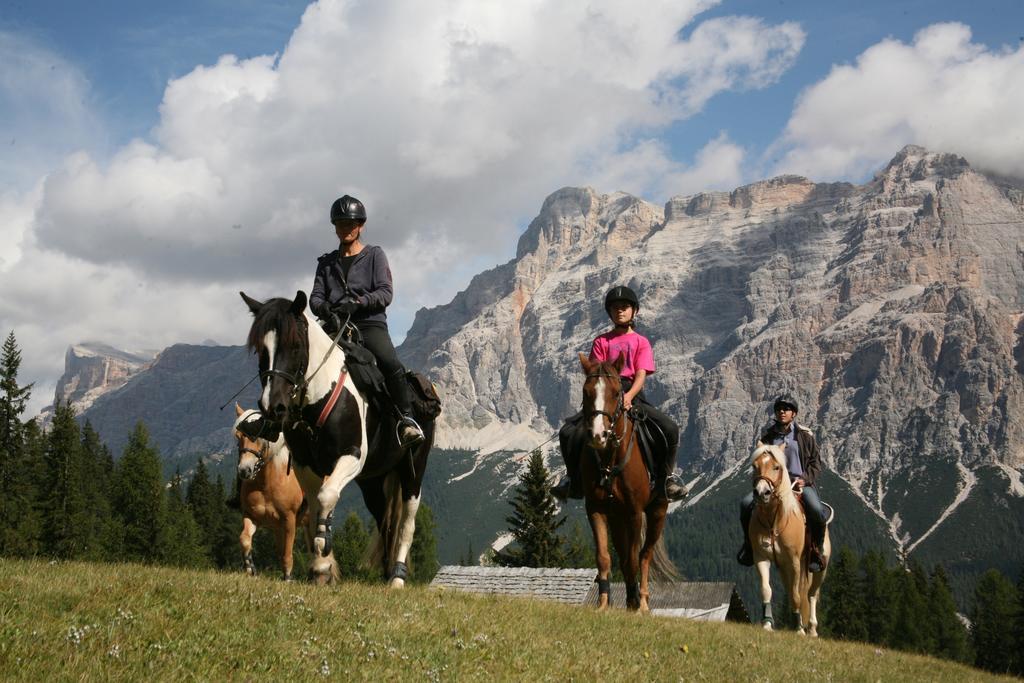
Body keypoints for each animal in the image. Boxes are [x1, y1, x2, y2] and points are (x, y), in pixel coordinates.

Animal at [231, 403, 313, 585]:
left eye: (260, 436)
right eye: (238, 436)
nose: (244, 470)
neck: (266, 484)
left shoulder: (289, 521)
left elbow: (287, 554)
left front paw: (288, 579)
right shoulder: (251, 516)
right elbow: (244, 539)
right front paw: (250, 569)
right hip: (278, 528)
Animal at [577, 350, 679, 610]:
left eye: (616, 393)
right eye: (586, 392)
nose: (598, 435)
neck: (610, 460)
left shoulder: (634, 513)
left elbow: (634, 559)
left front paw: (635, 603)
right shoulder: (596, 509)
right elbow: (604, 557)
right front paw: (603, 603)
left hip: (657, 512)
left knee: (644, 554)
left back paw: (641, 600)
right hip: (617, 519)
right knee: (624, 557)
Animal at [745, 444, 831, 634]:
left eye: (777, 467)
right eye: (755, 466)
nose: (761, 492)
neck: (774, 521)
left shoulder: (794, 562)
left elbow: (797, 595)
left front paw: (799, 628)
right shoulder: (761, 558)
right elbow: (766, 590)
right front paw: (767, 623)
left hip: (820, 569)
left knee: (812, 594)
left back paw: (811, 628)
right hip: (784, 569)